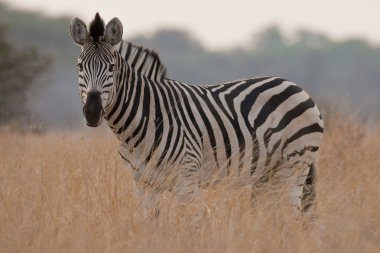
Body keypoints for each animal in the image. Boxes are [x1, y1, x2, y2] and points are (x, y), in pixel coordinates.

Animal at [69, 13, 324, 211]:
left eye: (112, 67)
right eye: (79, 66)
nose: (92, 112)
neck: (148, 117)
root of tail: (295, 86)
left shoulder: (187, 180)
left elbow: (192, 228)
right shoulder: (143, 184)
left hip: (294, 166)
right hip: (266, 174)